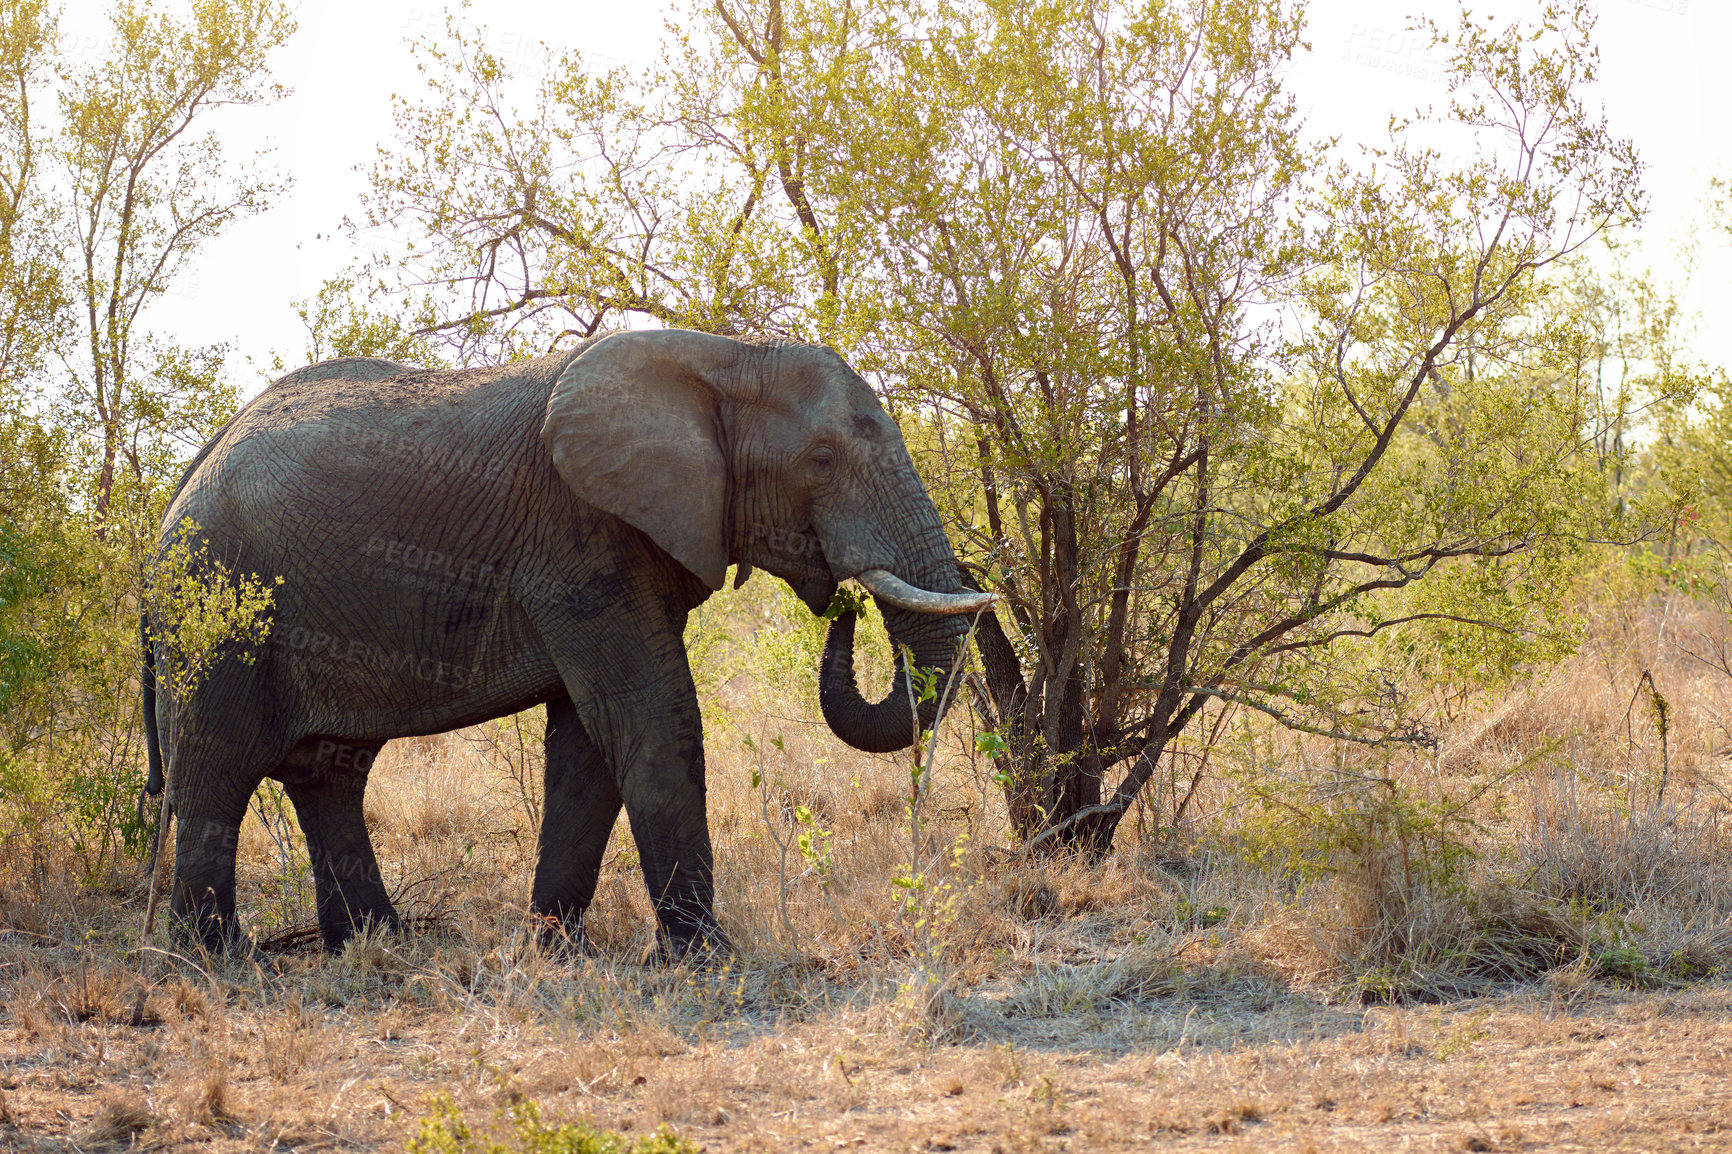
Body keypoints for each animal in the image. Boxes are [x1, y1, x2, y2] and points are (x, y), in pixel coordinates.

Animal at [142, 325, 997, 949]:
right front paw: (707, 958)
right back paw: (214, 960)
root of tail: (179, 490)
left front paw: (555, 948)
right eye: (821, 460)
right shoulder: (580, 538)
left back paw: (375, 944)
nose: (842, 607)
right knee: (217, 769)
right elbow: (650, 715)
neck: (726, 356)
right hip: (216, 608)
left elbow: (588, 744)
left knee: (329, 774)